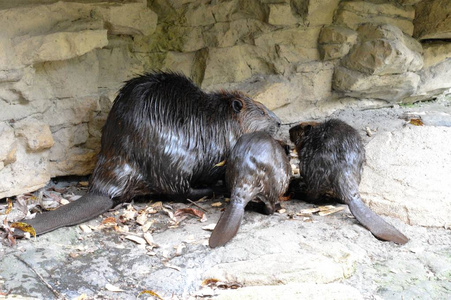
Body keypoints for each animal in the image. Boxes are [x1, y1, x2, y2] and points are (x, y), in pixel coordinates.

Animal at [18, 71, 282, 236]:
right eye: (261, 111)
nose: (279, 122)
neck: (220, 118)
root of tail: (103, 190)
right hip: (176, 164)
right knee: (179, 191)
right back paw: (209, 190)